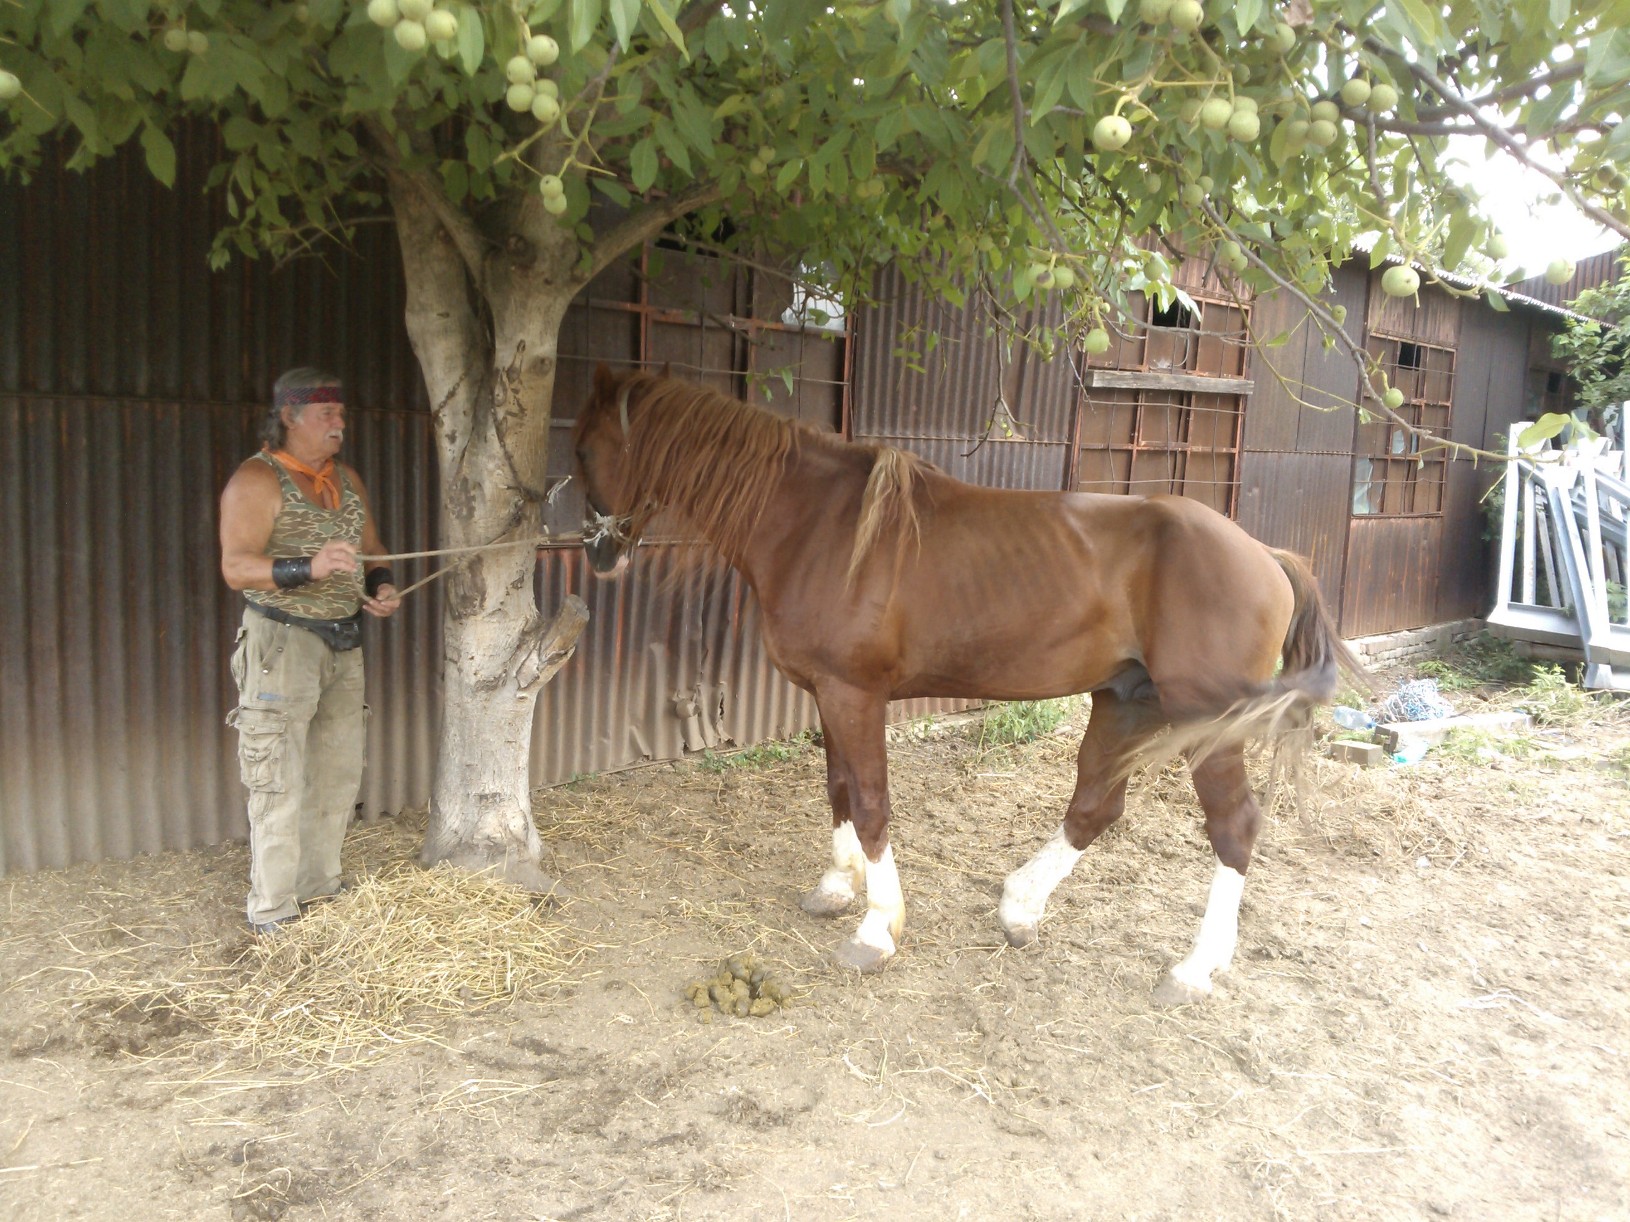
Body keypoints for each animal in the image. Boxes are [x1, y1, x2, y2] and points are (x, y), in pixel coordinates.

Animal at [573, 366, 1362, 1003]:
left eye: (583, 449)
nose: (600, 554)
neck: (816, 525)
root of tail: (1266, 553)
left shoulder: (854, 694)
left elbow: (870, 803)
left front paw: (876, 930)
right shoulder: (827, 695)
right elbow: (837, 788)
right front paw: (836, 888)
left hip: (1206, 722)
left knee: (1234, 827)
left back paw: (1194, 970)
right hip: (1126, 701)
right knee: (1094, 807)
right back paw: (1019, 907)